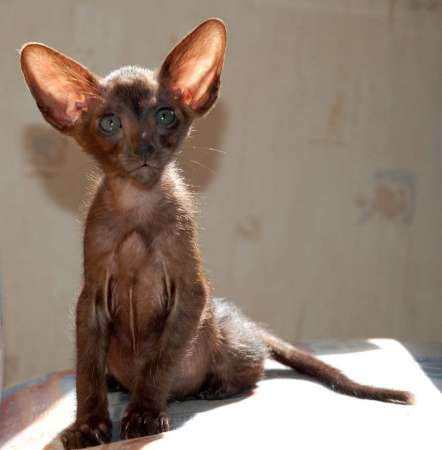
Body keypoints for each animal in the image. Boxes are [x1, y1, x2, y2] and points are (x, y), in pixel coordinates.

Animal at [19, 18, 414, 450]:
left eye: (164, 115)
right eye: (110, 123)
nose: (144, 148)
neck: (137, 205)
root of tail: (238, 319)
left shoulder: (190, 292)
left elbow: (159, 363)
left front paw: (143, 415)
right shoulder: (90, 300)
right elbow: (87, 372)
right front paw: (89, 426)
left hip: (228, 343)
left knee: (253, 369)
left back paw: (212, 387)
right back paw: (121, 384)